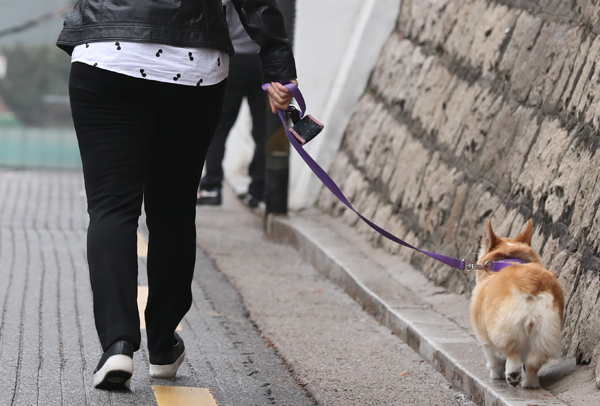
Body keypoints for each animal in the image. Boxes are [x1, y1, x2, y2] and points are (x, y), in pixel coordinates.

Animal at [472, 220, 564, 388]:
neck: (506, 260)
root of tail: (531, 284)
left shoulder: (484, 337)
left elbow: (493, 359)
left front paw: (495, 375)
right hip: (546, 331)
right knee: (532, 364)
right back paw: (530, 384)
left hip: (504, 329)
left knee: (512, 353)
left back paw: (513, 375)